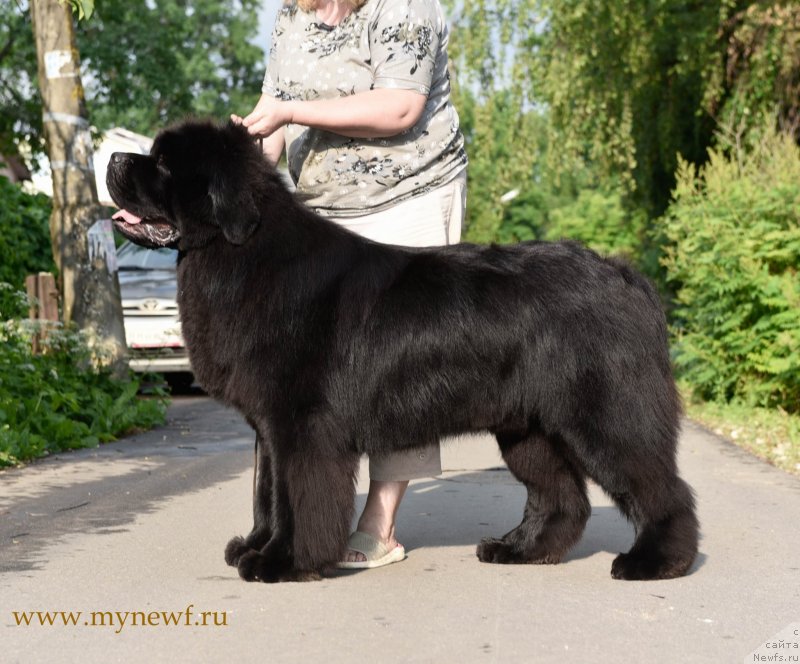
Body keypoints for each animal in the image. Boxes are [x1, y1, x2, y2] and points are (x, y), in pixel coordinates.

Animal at [108, 119, 700, 580]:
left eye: (163, 164)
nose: (113, 157)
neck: (242, 254)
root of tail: (625, 276)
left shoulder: (301, 424)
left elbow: (296, 495)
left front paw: (282, 562)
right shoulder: (269, 426)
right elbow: (266, 490)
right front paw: (253, 547)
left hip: (605, 413)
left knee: (658, 486)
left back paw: (656, 561)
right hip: (527, 428)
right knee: (561, 497)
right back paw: (520, 550)